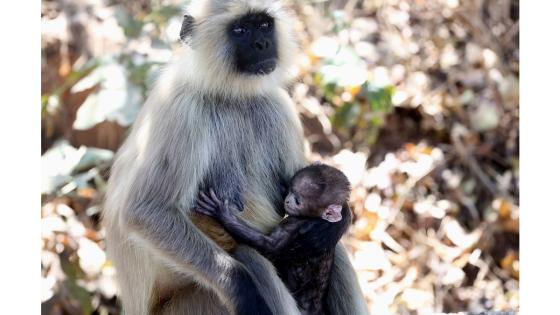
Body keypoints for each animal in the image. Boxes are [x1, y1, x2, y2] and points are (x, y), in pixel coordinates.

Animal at [196, 164, 350, 314]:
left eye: (298, 201)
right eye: (291, 190)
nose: (287, 200)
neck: (315, 218)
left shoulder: (294, 225)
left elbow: (270, 246)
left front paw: (223, 215)